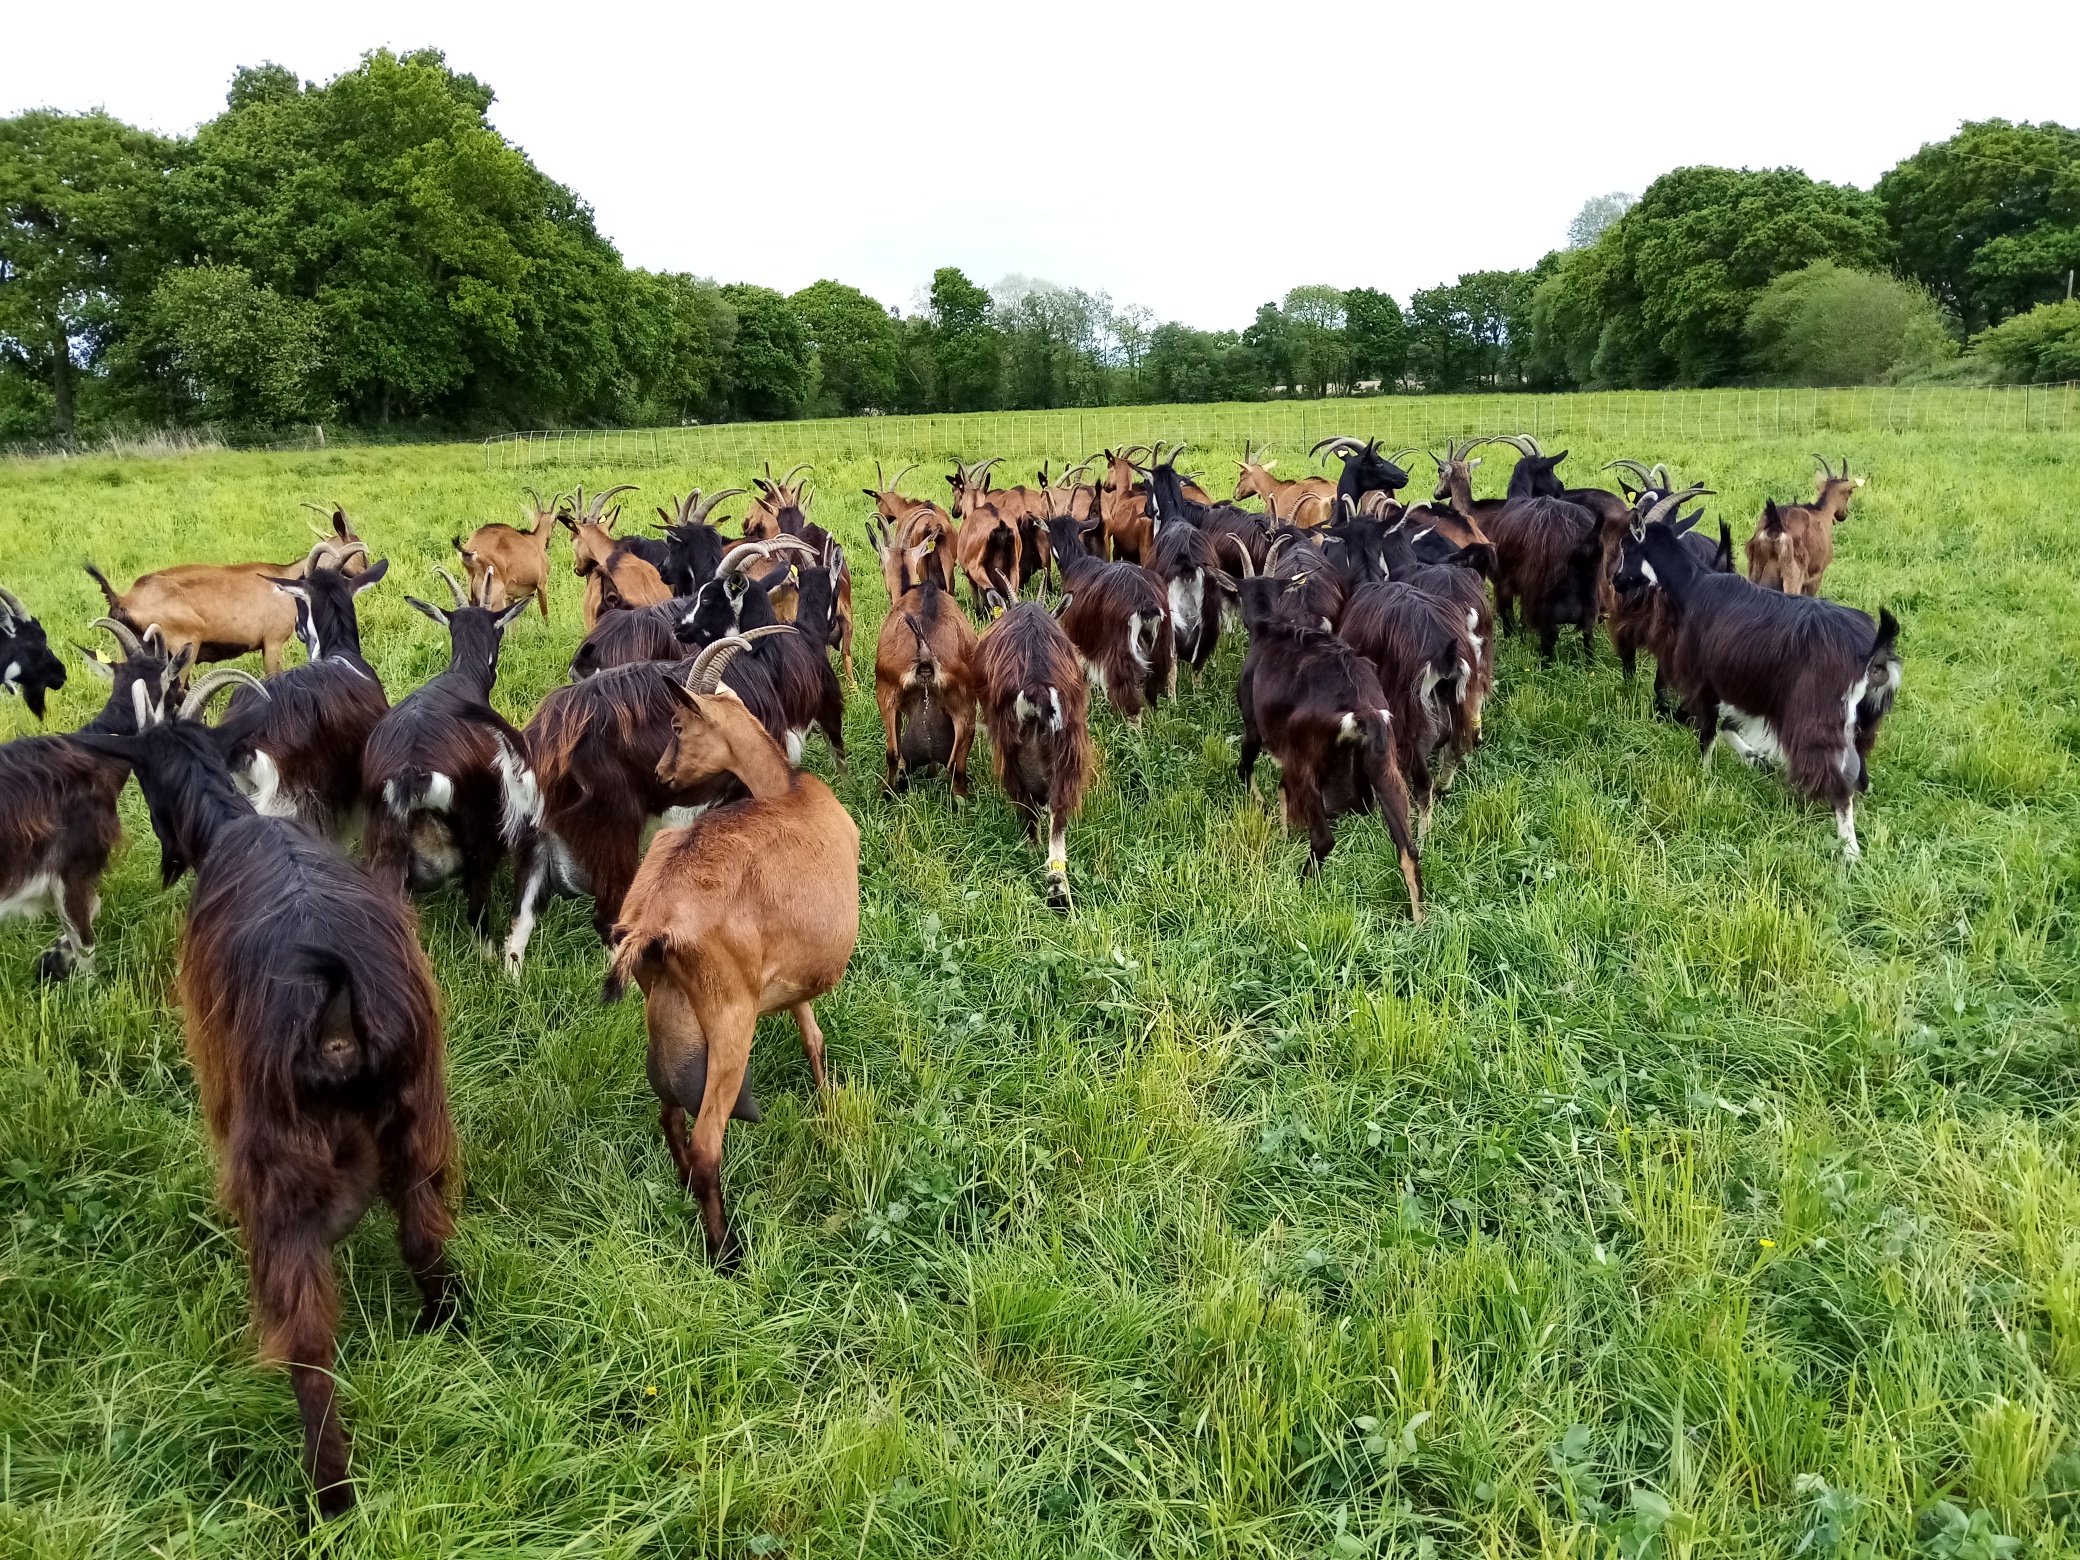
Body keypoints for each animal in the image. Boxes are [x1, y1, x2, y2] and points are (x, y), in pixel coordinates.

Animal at [455, 490, 565, 619]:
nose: (547, 543)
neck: (535, 540)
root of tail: (471, 550)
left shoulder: (510, 597)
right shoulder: (542, 585)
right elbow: (545, 616)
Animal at [1747, 457, 1863, 599]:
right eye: (1849, 492)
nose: (1844, 515)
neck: (1821, 512)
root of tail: (1775, 525)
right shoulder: (1817, 574)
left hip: (1755, 568)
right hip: (1793, 573)